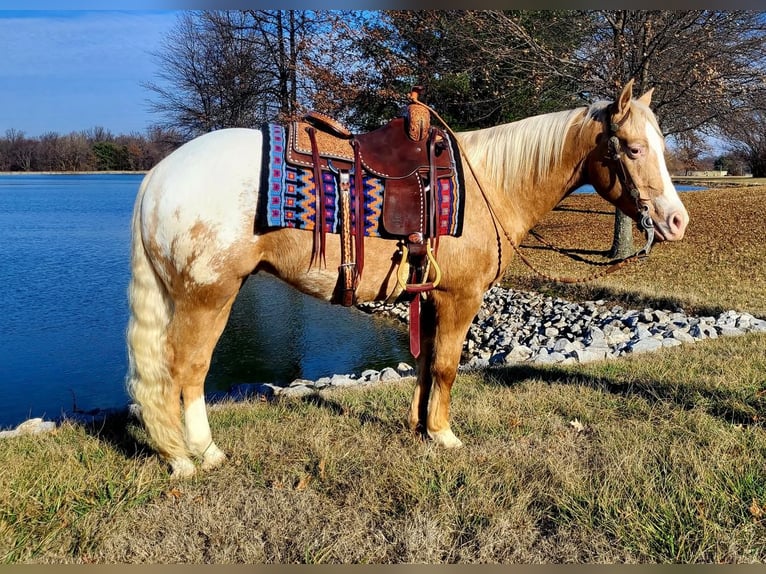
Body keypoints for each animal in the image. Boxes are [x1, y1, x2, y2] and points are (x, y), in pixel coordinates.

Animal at [124, 79, 688, 480]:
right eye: (632, 149)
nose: (677, 221)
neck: (491, 183)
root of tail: (157, 176)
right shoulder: (460, 297)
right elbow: (446, 366)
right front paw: (443, 435)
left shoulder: (431, 296)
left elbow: (424, 363)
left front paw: (419, 428)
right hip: (208, 297)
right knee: (185, 372)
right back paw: (195, 456)